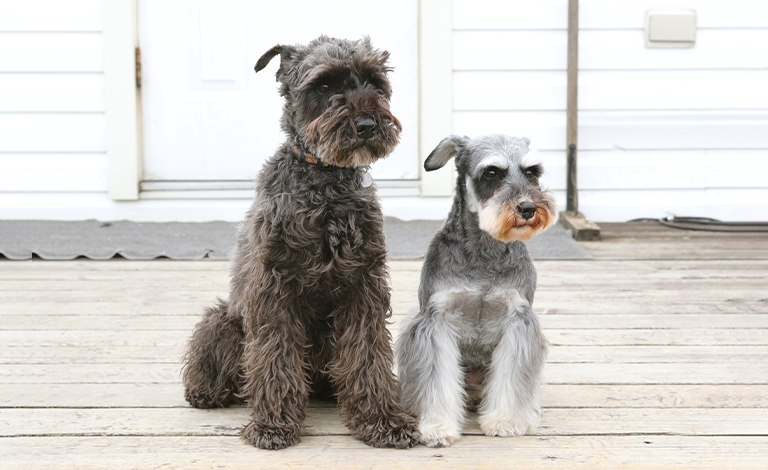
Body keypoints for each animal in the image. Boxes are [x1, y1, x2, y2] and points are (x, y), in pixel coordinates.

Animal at [181, 35, 416, 448]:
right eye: (323, 86)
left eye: (374, 81)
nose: (367, 125)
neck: (326, 185)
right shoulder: (275, 287)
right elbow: (276, 356)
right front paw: (274, 424)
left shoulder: (364, 286)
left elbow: (368, 354)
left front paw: (382, 420)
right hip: (224, 320)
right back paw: (205, 390)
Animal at [396, 134, 560, 446]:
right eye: (492, 173)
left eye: (532, 171)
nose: (528, 208)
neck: (486, 251)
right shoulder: (435, 321)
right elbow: (436, 380)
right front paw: (436, 426)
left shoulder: (518, 321)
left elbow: (511, 377)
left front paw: (506, 421)